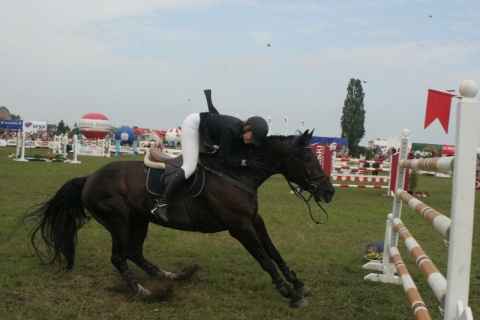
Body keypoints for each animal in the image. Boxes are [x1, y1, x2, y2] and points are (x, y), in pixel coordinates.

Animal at [25, 129, 334, 308]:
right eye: (308, 159)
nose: (329, 191)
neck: (237, 173)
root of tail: (89, 178)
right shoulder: (239, 226)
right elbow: (265, 260)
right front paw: (289, 294)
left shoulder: (254, 220)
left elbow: (274, 251)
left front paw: (297, 283)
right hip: (119, 221)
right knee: (120, 257)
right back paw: (143, 291)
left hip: (140, 220)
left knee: (135, 253)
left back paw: (169, 276)